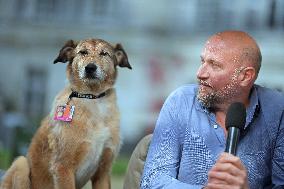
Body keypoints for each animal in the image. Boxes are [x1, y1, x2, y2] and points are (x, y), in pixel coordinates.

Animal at [0, 38, 131, 189]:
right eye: (82, 52)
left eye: (104, 53)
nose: (90, 68)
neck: (93, 98)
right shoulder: (63, 166)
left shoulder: (103, 171)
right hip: (20, 163)